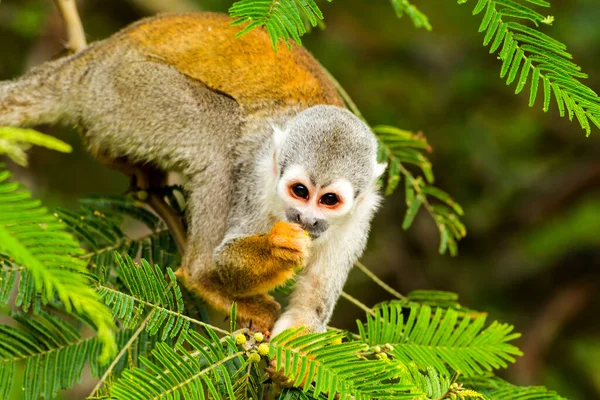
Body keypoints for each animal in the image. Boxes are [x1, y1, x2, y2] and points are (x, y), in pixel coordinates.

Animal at [0, 13, 384, 334]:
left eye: (329, 200)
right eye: (300, 191)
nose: (305, 219)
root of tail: (95, 56)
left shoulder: (358, 219)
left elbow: (310, 310)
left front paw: (288, 361)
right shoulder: (259, 171)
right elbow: (227, 257)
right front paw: (278, 248)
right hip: (128, 90)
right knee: (220, 140)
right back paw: (202, 276)